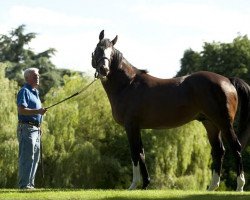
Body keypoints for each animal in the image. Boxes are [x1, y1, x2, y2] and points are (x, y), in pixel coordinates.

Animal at [91, 30, 250, 191]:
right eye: (98, 49)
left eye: (111, 52)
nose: (104, 69)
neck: (128, 84)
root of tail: (228, 80)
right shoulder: (137, 127)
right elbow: (141, 153)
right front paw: (145, 184)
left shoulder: (130, 126)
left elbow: (135, 153)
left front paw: (133, 185)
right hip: (210, 124)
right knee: (218, 151)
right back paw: (212, 187)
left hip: (224, 123)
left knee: (236, 147)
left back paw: (239, 186)